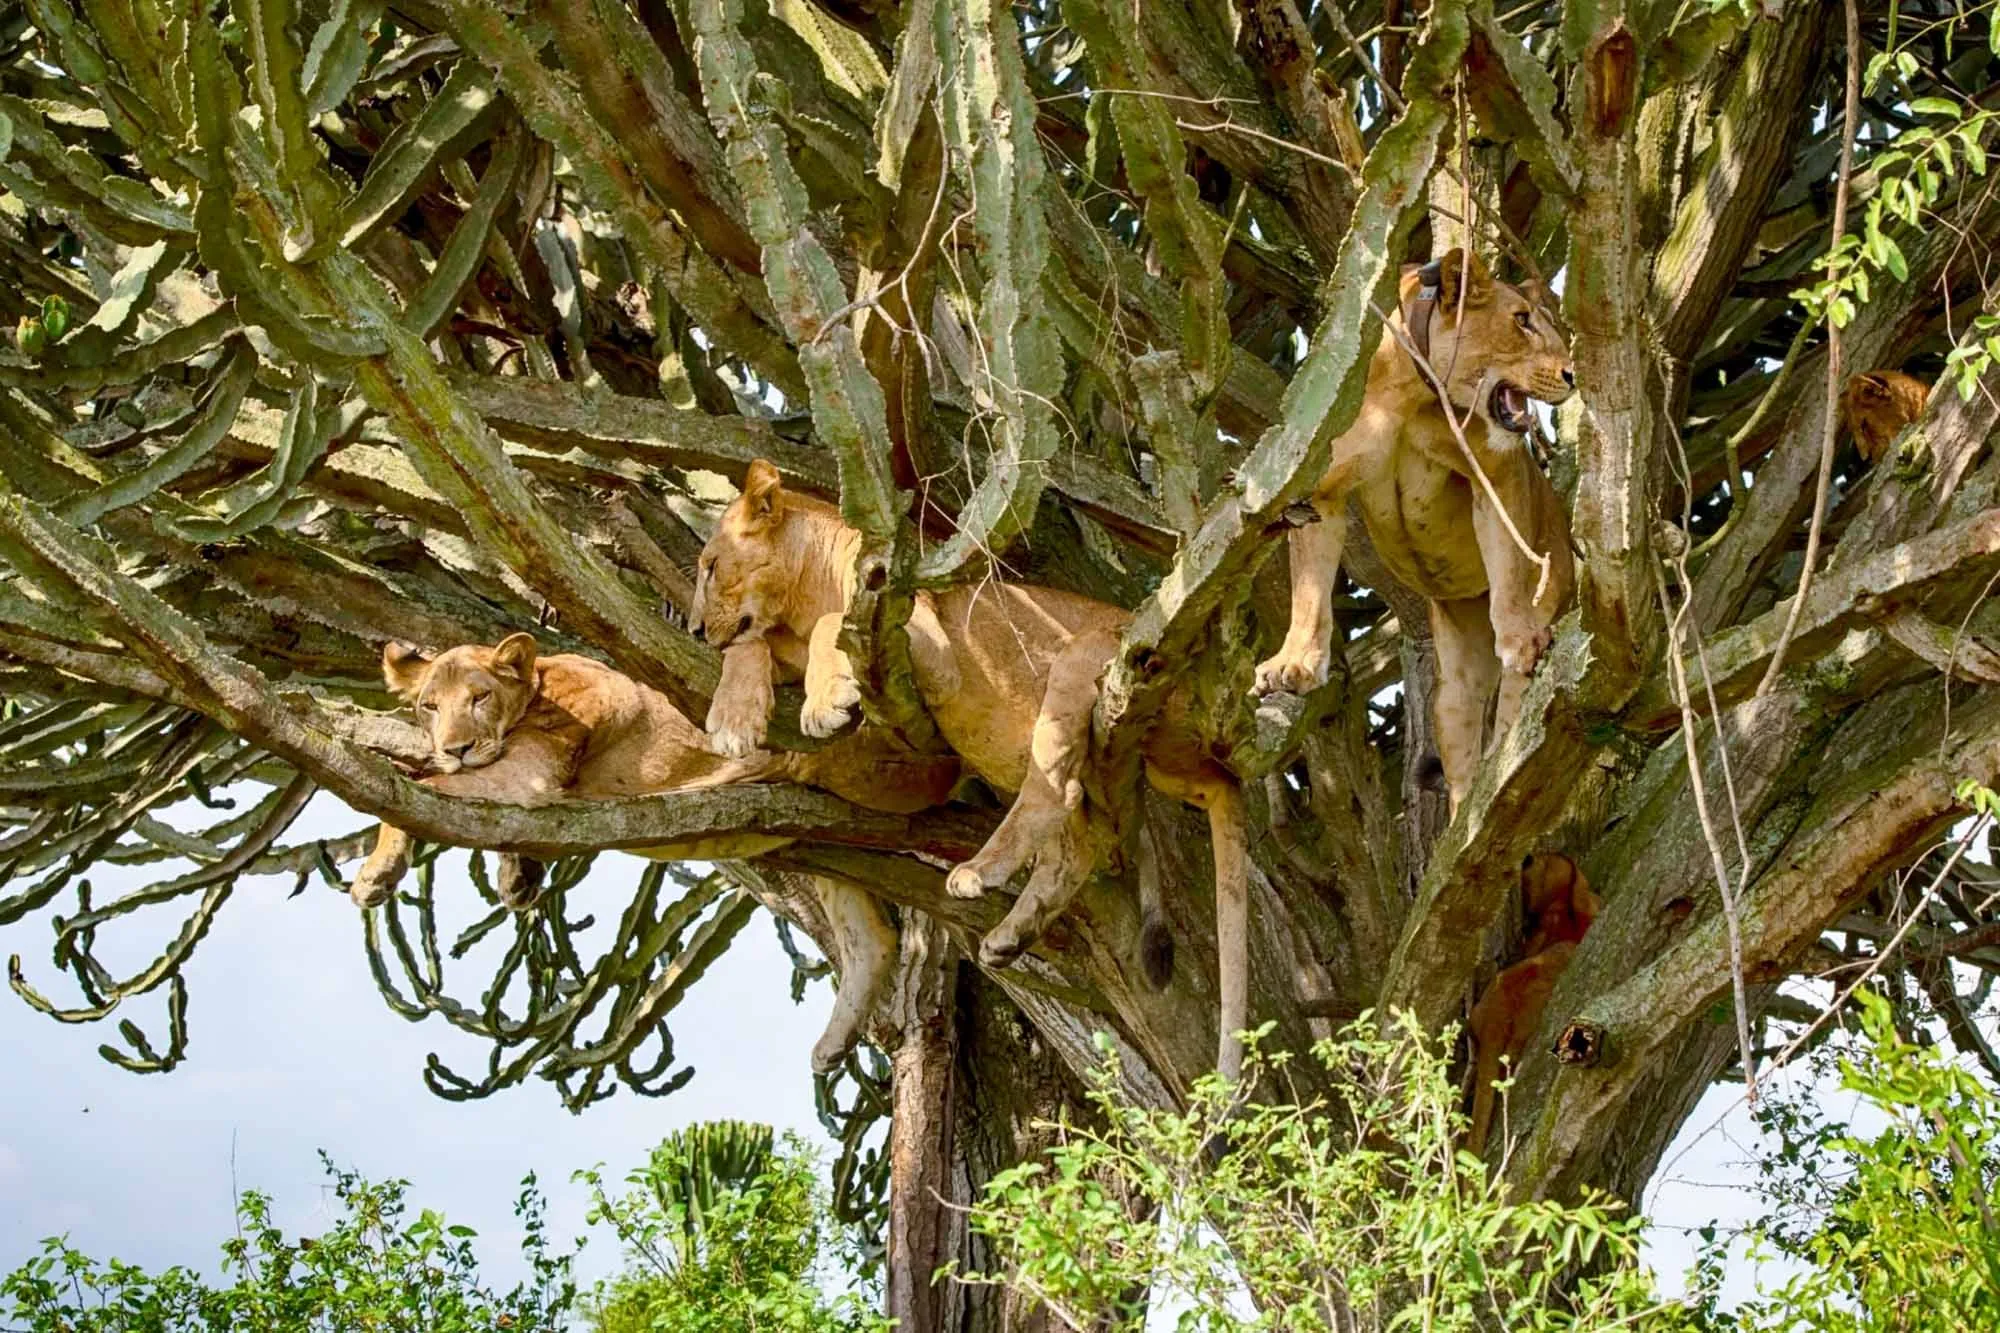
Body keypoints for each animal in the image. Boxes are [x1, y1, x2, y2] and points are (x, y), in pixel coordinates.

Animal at [352, 632, 958, 1072]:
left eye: (479, 698)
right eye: (429, 706)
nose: (454, 747)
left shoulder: (529, 772)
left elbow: (416, 788)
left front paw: (377, 872)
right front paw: (517, 878)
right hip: (826, 852)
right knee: (871, 940)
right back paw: (833, 1045)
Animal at [692, 461, 1256, 1081]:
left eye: (712, 566)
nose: (693, 629)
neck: (803, 591)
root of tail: (1215, 757)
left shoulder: (924, 645)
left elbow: (827, 627)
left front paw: (819, 705)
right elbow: (752, 645)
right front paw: (735, 716)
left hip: (1084, 657)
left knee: (1055, 790)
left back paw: (980, 874)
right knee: (1075, 840)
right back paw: (1010, 934)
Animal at [1254, 248, 1577, 808]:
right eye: (1521, 321)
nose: (1573, 374)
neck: (1410, 389)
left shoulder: (1497, 472)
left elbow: (1511, 573)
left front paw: (1518, 635)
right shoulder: (1322, 493)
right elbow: (1309, 591)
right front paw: (1294, 664)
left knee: (1515, 714)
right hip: (1452, 690)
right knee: (1462, 751)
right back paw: (1466, 814)